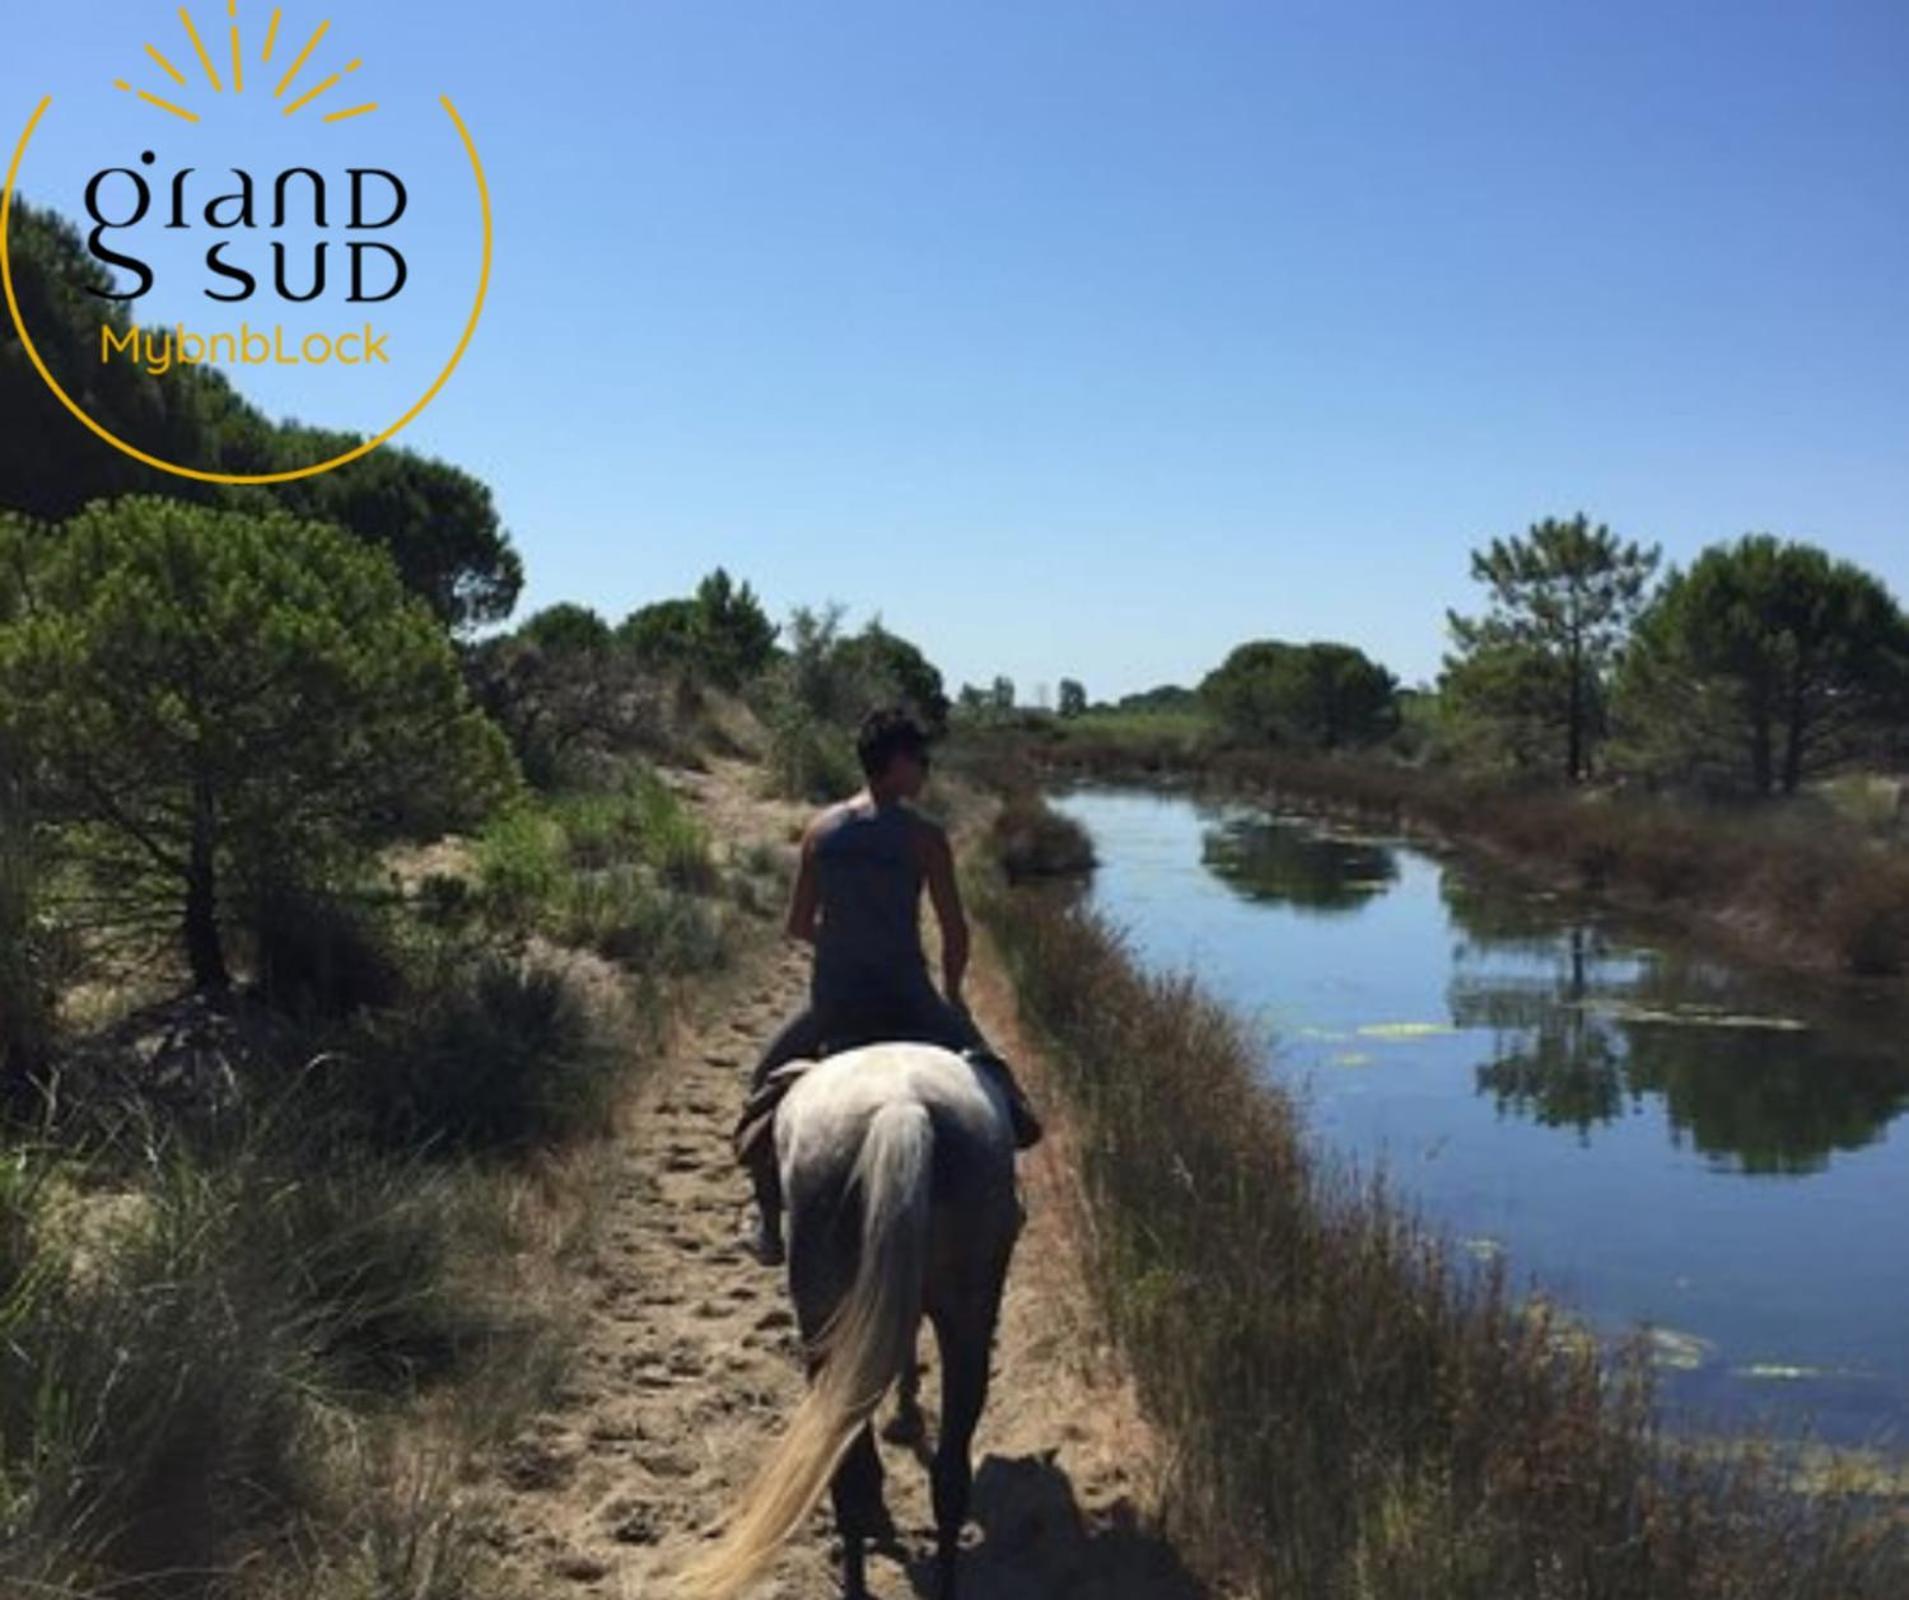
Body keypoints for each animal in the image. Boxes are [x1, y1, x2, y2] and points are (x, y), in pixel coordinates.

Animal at [679, 1046, 1023, 1596]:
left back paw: (857, 1576)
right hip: (969, 1318)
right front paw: (906, 1412)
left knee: (849, 1475)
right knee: (950, 1477)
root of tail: (903, 1109)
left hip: (825, 1324)